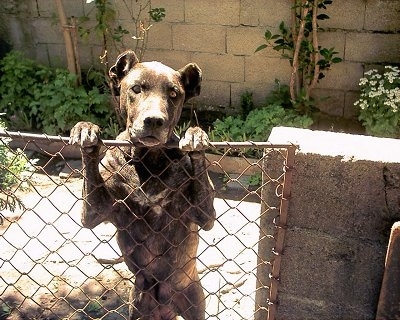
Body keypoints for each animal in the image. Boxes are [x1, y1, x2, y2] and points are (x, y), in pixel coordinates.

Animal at [70, 51, 217, 318]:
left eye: (173, 93)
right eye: (137, 88)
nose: (154, 120)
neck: (149, 160)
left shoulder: (202, 214)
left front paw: (195, 136)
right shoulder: (95, 211)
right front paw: (87, 130)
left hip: (193, 301)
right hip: (137, 303)